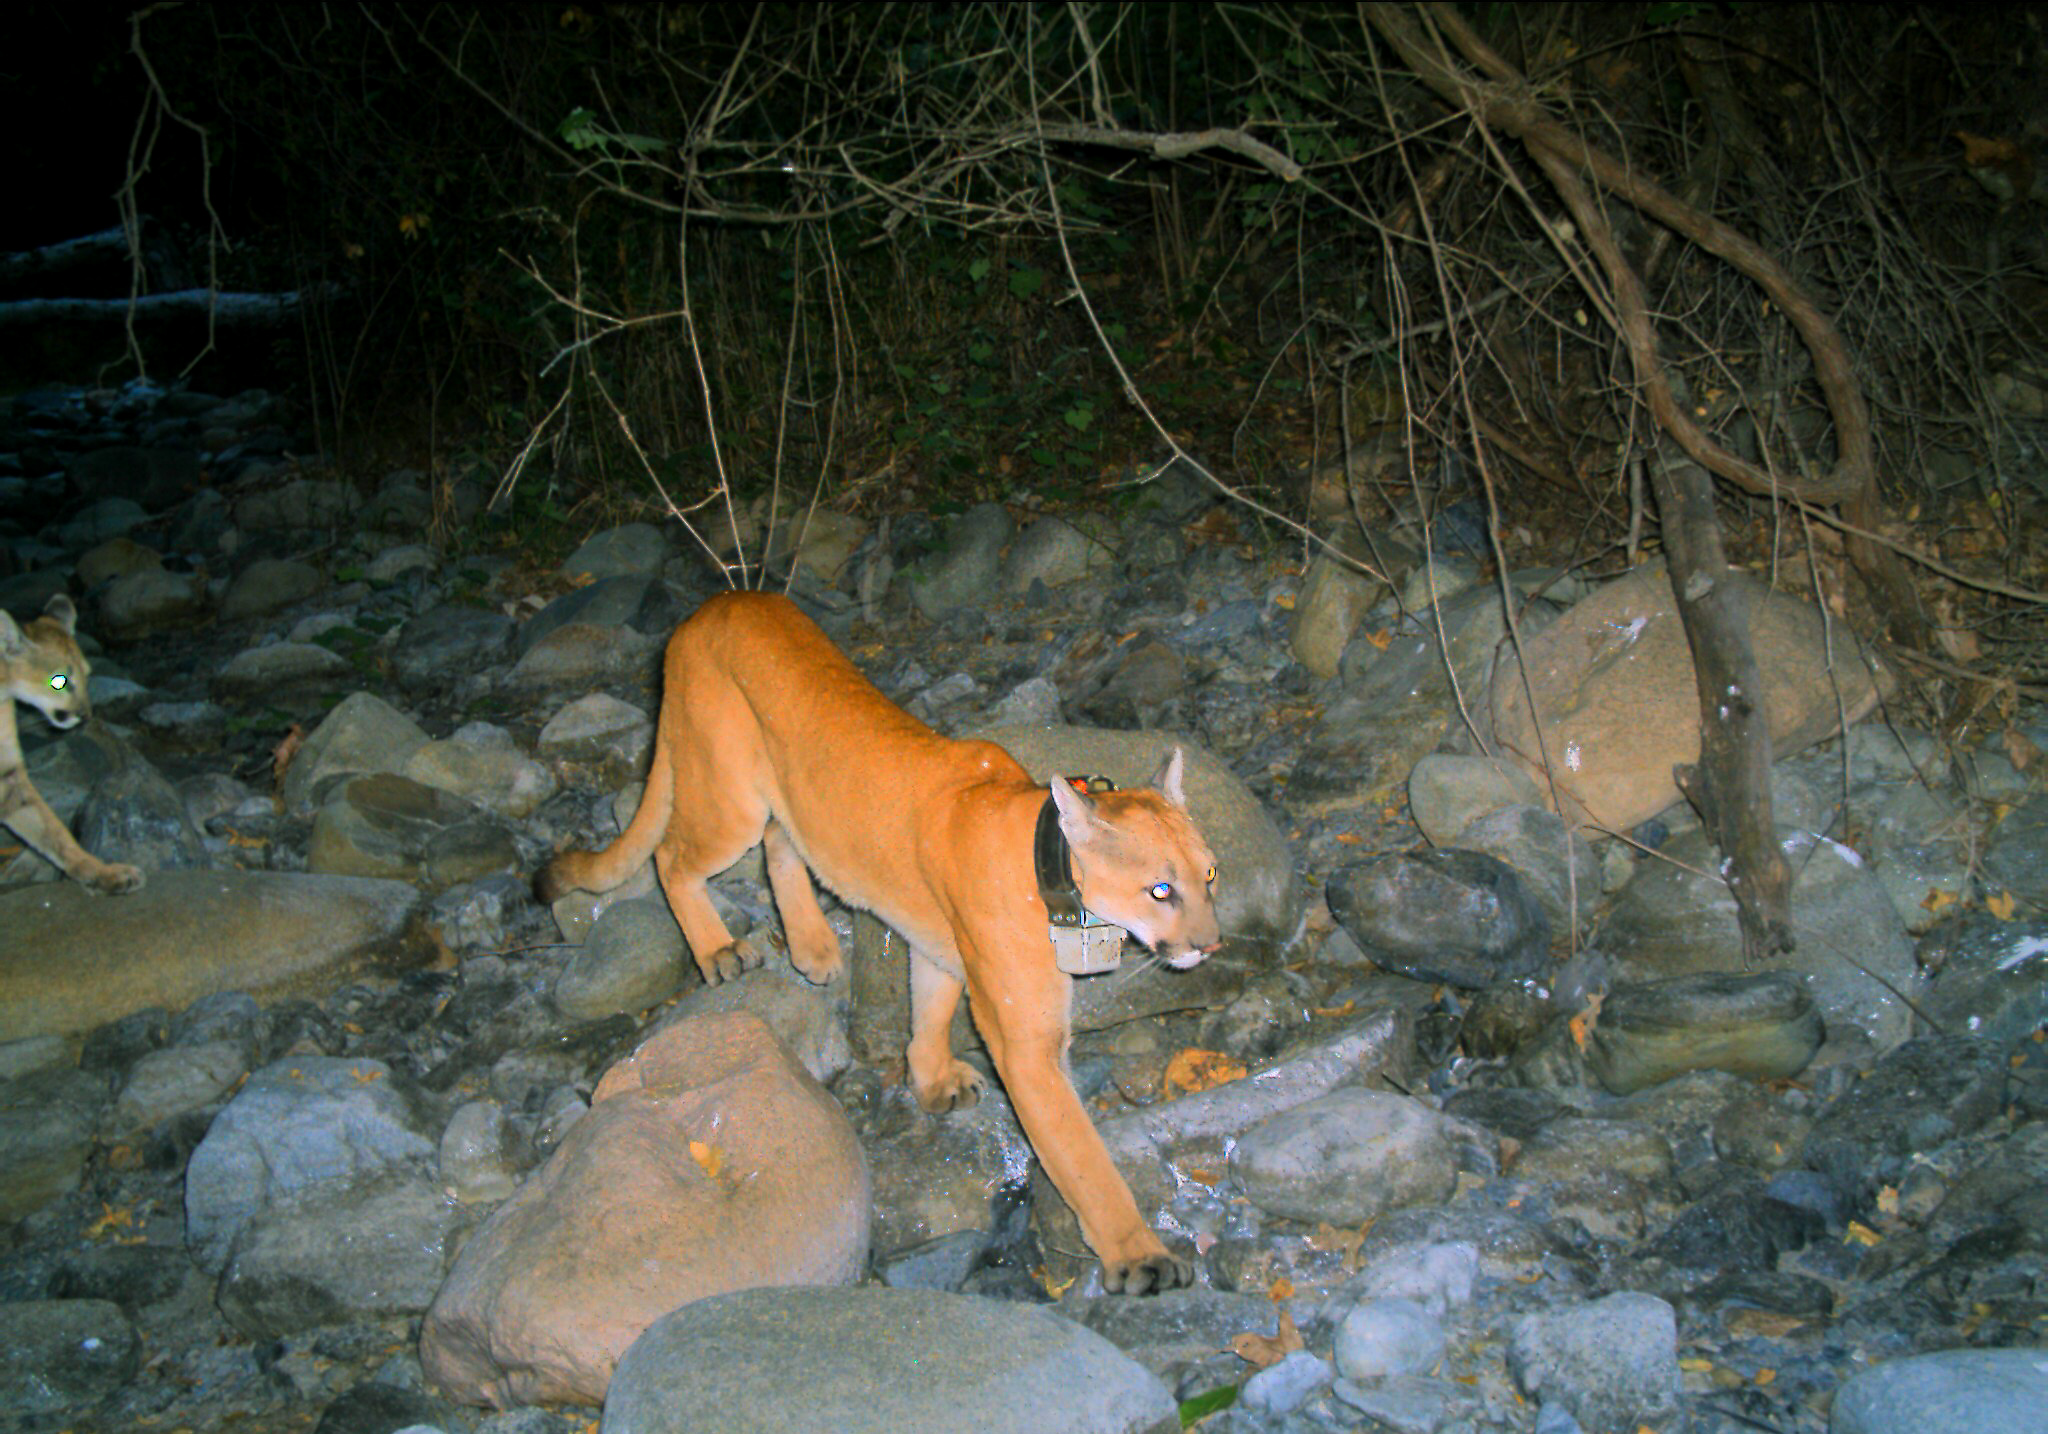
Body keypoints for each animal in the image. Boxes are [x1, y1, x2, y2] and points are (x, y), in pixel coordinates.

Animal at [2, 594, 144, 897]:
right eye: (59, 681)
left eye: (87, 674)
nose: (87, 715)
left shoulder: (9, 775)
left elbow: (54, 832)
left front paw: (103, 874)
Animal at [536, 589, 1220, 1294]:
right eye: (1160, 890)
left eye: (1210, 875)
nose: (1213, 945)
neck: (1048, 862)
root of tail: (719, 602)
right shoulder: (1027, 1047)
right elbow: (1083, 1159)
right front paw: (1138, 1256)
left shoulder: (940, 946)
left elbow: (931, 1008)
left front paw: (930, 1078)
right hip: (727, 796)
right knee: (672, 857)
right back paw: (720, 952)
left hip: (785, 792)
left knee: (782, 840)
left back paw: (813, 947)